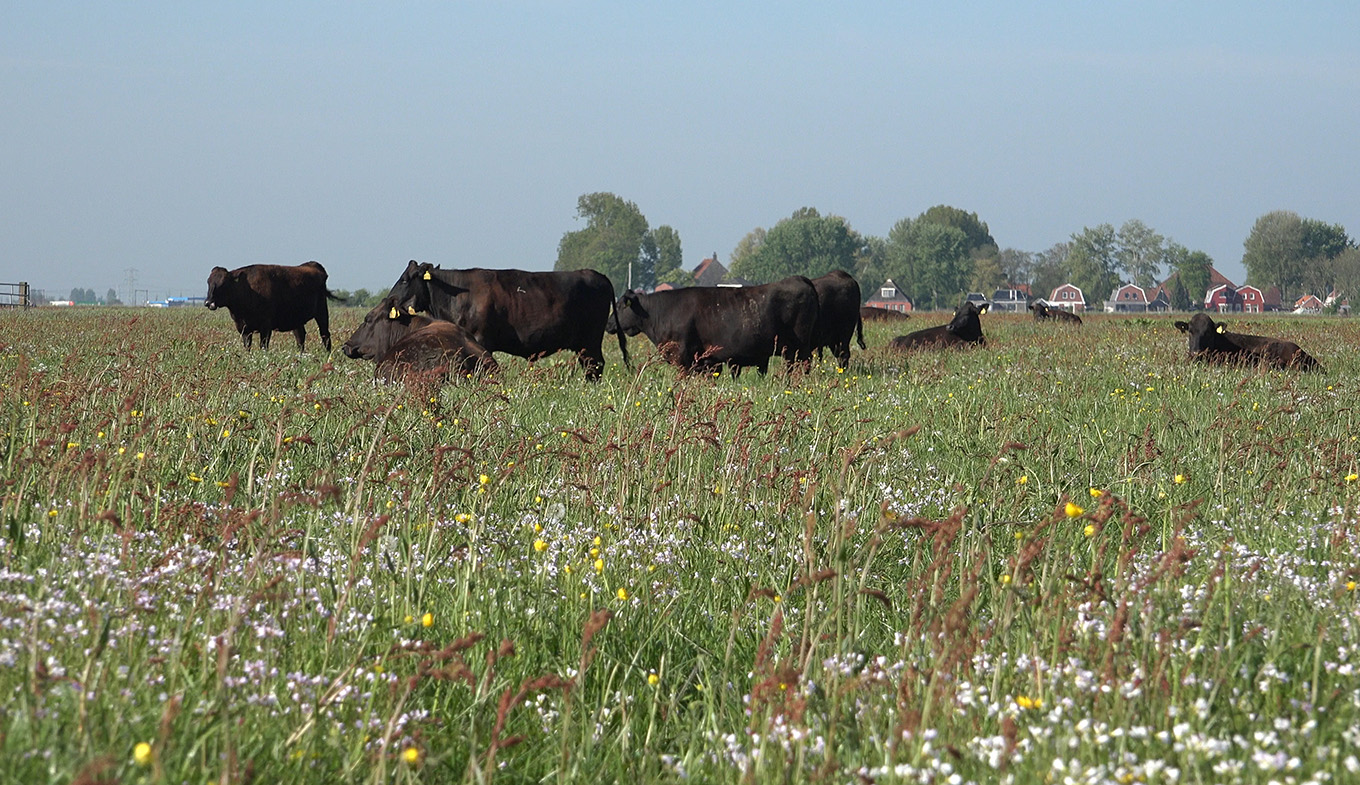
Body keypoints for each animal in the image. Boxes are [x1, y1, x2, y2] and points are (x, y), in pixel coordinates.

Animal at [202, 261, 340, 351]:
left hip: (322, 312)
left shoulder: (266, 326)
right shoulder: (244, 329)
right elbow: (247, 347)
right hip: (296, 318)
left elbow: (263, 346)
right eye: (208, 282)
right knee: (300, 337)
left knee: (325, 335)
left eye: (223, 283)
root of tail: (312, 264)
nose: (208, 302)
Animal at [386, 259, 622, 380]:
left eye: (405, 279)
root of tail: (597, 274)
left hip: (591, 340)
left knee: (595, 366)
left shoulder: (481, 339)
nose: (388, 300)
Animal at [606, 273, 816, 375]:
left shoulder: (684, 358)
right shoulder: (706, 363)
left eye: (620, 306)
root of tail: (798, 278)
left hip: (798, 349)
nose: (608, 324)